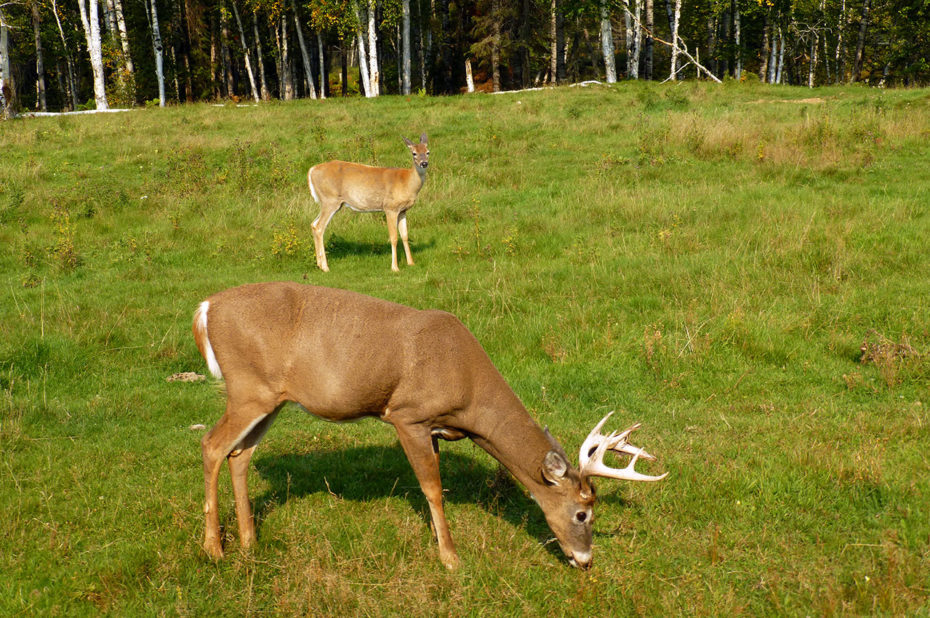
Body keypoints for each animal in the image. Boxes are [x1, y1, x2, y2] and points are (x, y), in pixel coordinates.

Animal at [190, 280, 668, 568]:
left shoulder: (436, 428)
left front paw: (443, 546)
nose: (585, 561)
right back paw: (214, 549)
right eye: (583, 511)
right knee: (212, 445)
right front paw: (451, 558)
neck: (468, 390)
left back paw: (250, 542)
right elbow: (433, 489)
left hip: (271, 399)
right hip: (248, 388)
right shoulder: (409, 416)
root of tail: (205, 308)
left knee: (240, 453)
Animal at [310, 134, 430, 270]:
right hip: (330, 200)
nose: (424, 163)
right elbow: (394, 237)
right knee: (319, 227)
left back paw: (319, 264)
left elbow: (405, 235)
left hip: (329, 202)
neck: (406, 182)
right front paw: (395, 267)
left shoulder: (403, 210)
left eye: (428, 152)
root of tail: (311, 170)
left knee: (313, 224)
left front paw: (411, 263)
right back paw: (325, 267)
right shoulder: (390, 207)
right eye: (414, 153)